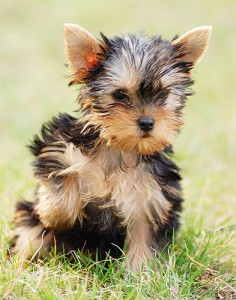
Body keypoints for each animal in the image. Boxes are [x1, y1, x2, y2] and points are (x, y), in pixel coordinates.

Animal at [10, 23, 211, 270]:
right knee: (29, 236)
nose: (147, 122)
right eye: (120, 94)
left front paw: (140, 273)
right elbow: (60, 180)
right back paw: (21, 263)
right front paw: (54, 215)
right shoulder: (58, 147)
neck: (120, 148)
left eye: (163, 93)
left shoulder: (151, 199)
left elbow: (143, 239)